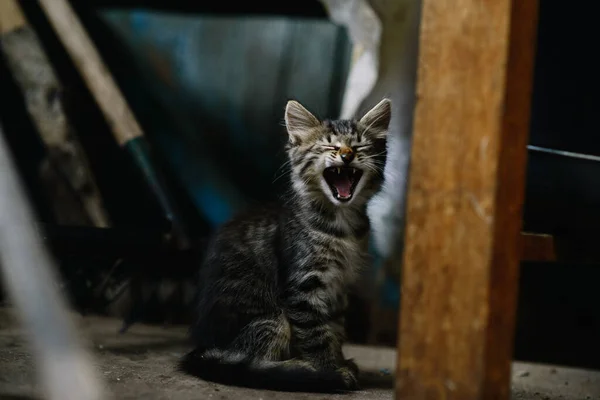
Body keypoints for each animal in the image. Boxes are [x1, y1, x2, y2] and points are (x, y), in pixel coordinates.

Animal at [178, 98, 392, 392]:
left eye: (359, 146)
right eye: (330, 146)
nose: (347, 155)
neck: (342, 224)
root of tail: (202, 348)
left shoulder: (339, 288)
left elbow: (335, 331)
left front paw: (339, 361)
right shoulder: (303, 287)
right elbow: (316, 336)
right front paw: (328, 370)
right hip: (272, 319)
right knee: (252, 362)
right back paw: (295, 369)